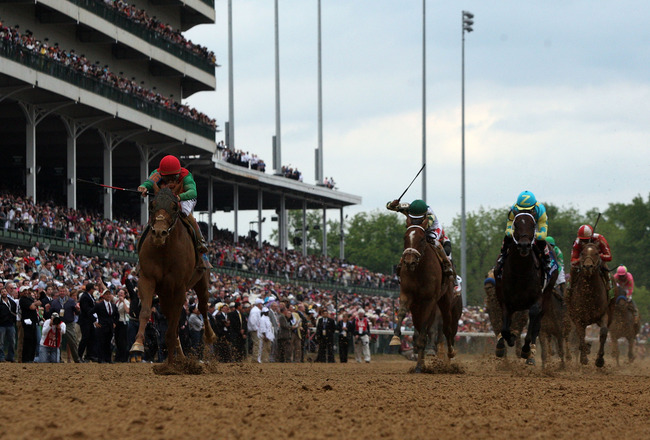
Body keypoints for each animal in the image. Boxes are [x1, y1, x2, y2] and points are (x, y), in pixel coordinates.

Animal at [129, 188, 215, 364]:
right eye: (152, 205)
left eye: (175, 207)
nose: (159, 233)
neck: (165, 251)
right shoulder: (147, 279)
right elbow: (146, 311)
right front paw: (137, 346)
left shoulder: (179, 286)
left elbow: (176, 319)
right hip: (164, 294)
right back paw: (179, 355)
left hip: (201, 281)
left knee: (203, 307)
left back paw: (209, 337)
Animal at [392, 223, 454, 372]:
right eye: (405, 238)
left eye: (421, 239)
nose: (409, 262)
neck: (419, 271)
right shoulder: (407, 294)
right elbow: (402, 312)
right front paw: (396, 337)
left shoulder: (429, 300)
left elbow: (425, 330)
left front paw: (420, 365)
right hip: (416, 308)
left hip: (445, 301)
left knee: (447, 328)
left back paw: (449, 353)